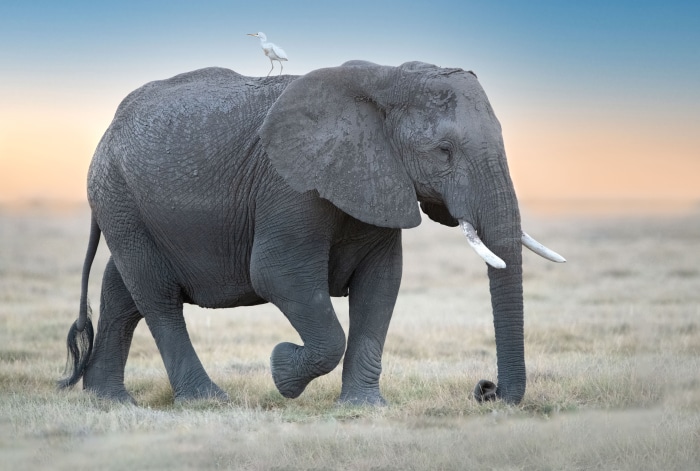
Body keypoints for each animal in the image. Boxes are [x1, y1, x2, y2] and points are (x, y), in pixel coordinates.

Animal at [58, 60, 564, 406]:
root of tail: (108, 130)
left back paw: (109, 400)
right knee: (157, 296)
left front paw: (365, 406)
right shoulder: (290, 186)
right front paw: (282, 371)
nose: (486, 389)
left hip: (128, 205)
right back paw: (206, 400)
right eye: (444, 150)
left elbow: (382, 283)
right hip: (118, 194)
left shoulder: (379, 180)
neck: (384, 81)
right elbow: (277, 275)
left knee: (122, 288)